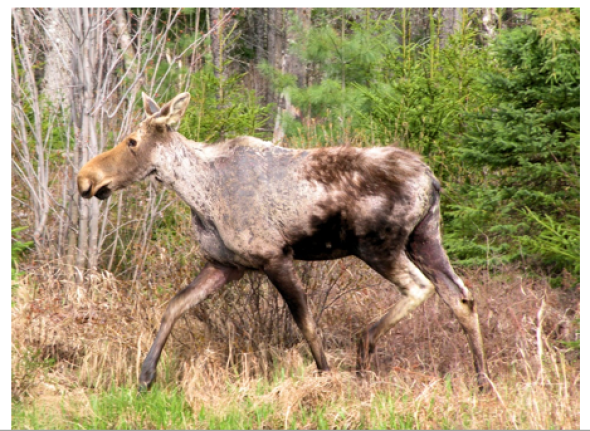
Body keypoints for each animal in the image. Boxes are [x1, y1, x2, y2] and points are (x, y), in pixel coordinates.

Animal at [80, 93, 494, 394]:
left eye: (132, 141)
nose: (86, 178)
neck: (200, 194)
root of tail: (433, 180)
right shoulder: (227, 265)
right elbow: (174, 306)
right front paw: (146, 376)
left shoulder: (274, 257)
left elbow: (306, 323)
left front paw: (325, 376)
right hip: (425, 238)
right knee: (461, 296)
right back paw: (483, 381)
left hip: (379, 245)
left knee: (420, 287)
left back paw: (363, 352)